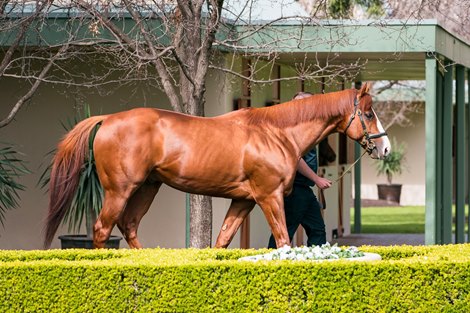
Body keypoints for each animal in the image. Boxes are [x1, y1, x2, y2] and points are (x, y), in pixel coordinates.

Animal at [44, 81, 392, 247]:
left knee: (128, 227)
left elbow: (222, 241)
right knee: (102, 230)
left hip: (147, 187)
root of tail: (107, 119)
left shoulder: (243, 201)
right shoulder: (269, 197)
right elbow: (282, 241)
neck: (274, 132)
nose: (386, 147)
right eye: (369, 113)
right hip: (120, 190)